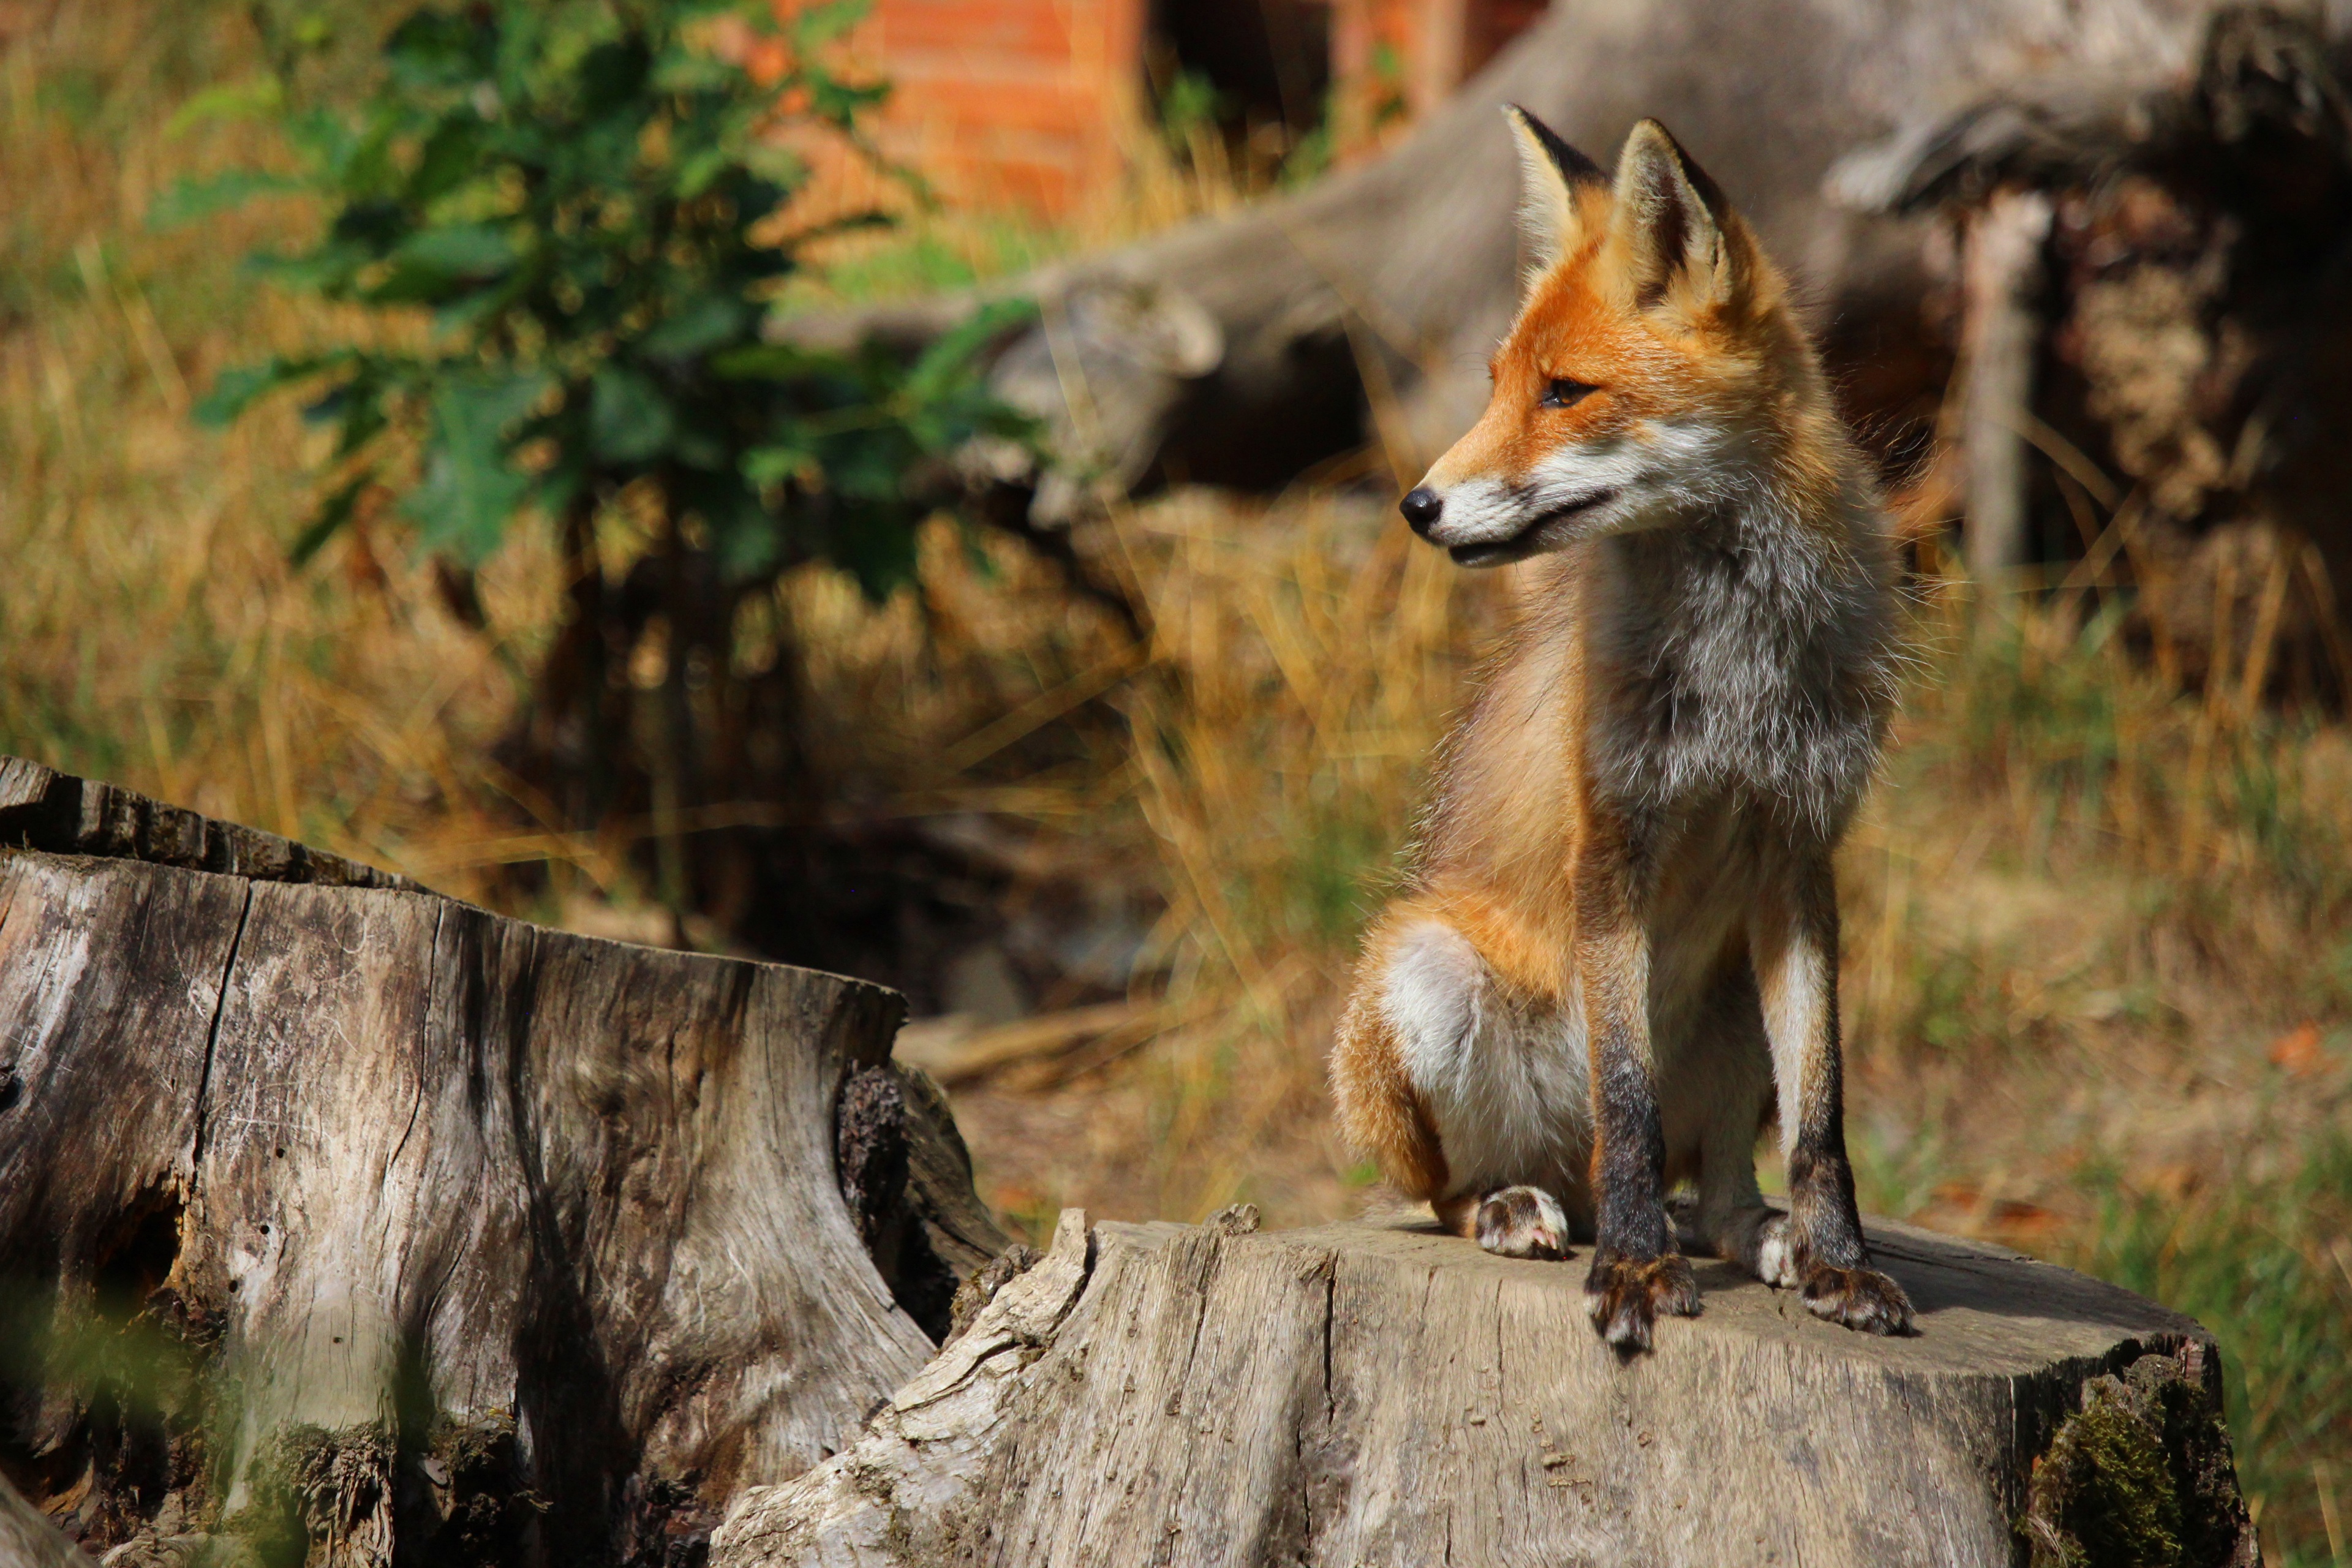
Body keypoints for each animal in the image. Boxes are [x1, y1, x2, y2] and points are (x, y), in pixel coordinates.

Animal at [1326, 110, 1910, 1354]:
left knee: (1723, 1186)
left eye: (1566, 392)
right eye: (1499, 385)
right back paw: (1528, 1211)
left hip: (1734, 1008)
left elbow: (1825, 1123)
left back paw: (1766, 1239)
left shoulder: (1800, 855)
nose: (1416, 506)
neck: (1737, 662)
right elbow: (1629, 1104)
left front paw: (1842, 1263)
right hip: (1426, 978)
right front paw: (1637, 1274)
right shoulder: (1613, 843)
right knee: (1476, 1188)